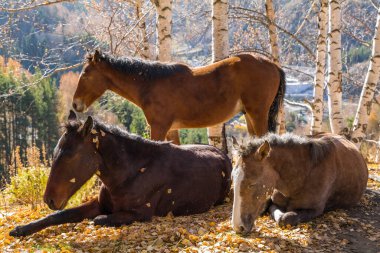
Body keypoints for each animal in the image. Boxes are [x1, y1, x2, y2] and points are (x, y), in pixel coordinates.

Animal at [9, 111, 232, 237]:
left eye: (69, 156)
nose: (49, 200)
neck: (132, 173)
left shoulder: (140, 214)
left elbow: (98, 220)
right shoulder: (98, 204)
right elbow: (59, 215)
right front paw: (20, 230)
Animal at [72, 49, 284, 144]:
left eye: (86, 73)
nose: (75, 104)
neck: (150, 83)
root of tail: (273, 65)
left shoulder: (159, 127)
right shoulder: (171, 130)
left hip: (257, 114)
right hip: (249, 115)